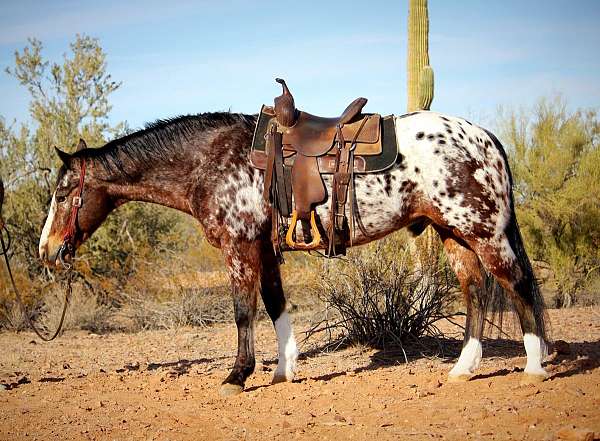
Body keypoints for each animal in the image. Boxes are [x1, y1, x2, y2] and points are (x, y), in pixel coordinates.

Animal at [38, 105, 548, 394]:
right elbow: (275, 304)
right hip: (455, 235)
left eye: (62, 194)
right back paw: (464, 368)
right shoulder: (264, 250)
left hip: (484, 232)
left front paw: (237, 376)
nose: (48, 251)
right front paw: (284, 370)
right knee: (476, 291)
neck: (212, 160)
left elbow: (243, 311)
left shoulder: (239, 247)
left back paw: (535, 367)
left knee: (519, 285)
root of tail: (485, 137)